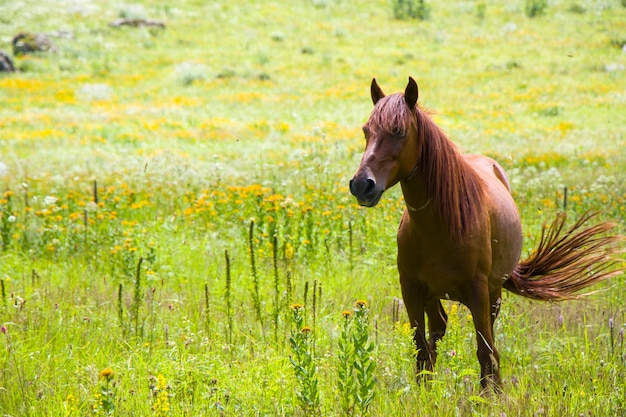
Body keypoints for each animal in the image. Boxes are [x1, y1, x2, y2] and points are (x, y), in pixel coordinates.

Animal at [348, 77, 620, 390]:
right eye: (366, 131)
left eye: (398, 130)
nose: (361, 185)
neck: (439, 226)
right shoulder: (411, 289)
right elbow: (420, 347)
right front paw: (423, 391)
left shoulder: (478, 292)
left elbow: (485, 350)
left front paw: (490, 394)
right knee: (437, 329)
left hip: (493, 293)